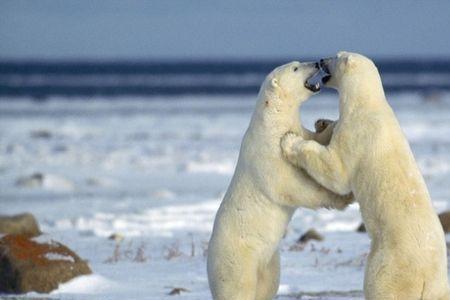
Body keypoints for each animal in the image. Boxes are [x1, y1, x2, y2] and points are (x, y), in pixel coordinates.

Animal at [207, 61, 352, 300]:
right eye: (295, 68)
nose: (316, 63)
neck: (273, 121)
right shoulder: (269, 151)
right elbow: (292, 186)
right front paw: (343, 199)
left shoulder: (297, 130)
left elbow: (314, 140)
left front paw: (325, 123)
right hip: (236, 262)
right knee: (239, 289)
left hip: (270, 261)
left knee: (268, 285)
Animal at [282, 52, 450, 300]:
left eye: (336, 56)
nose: (321, 60)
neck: (367, 103)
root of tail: (426, 279)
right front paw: (322, 122)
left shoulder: (357, 133)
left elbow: (336, 171)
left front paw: (290, 141)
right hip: (439, 286)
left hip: (389, 266)